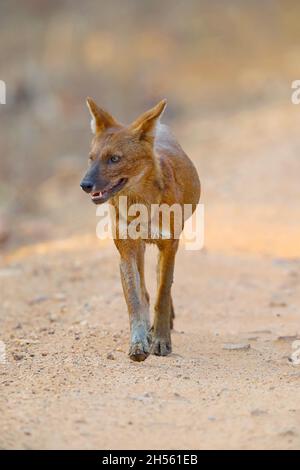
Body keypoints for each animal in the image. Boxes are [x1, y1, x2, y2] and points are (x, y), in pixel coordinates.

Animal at [81, 99, 200, 362]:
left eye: (114, 158)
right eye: (91, 158)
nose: (85, 185)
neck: (141, 205)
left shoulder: (169, 245)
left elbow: (162, 294)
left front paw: (161, 340)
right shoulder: (127, 250)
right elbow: (135, 299)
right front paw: (138, 343)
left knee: (160, 285)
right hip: (141, 248)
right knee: (145, 290)